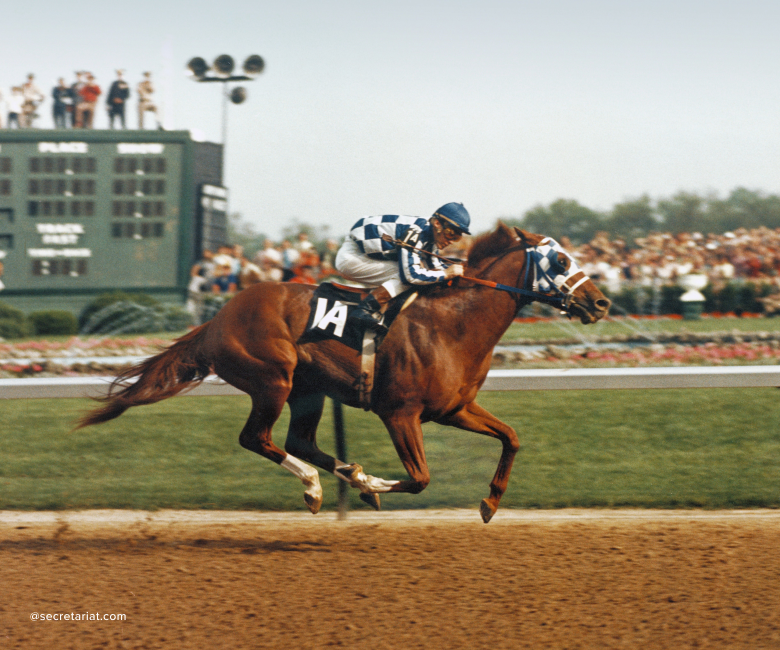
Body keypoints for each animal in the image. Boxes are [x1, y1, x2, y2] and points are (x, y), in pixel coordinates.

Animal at [77, 222, 611, 523]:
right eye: (562, 258)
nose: (602, 303)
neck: (452, 322)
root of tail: (217, 318)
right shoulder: (400, 413)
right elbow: (419, 478)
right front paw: (371, 487)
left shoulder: (455, 408)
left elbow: (511, 438)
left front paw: (491, 502)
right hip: (274, 378)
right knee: (258, 438)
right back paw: (315, 486)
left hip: (307, 390)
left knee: (298, 440)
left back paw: (339, 473)